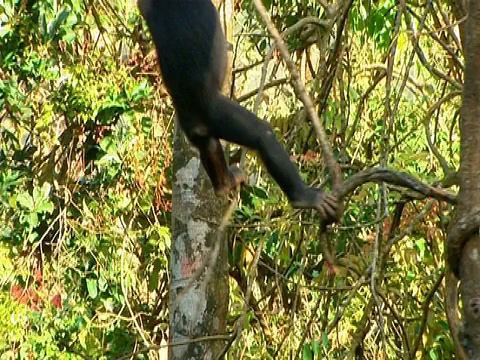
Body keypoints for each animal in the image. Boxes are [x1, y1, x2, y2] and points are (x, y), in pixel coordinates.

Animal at [137, 0, 340, 222]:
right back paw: (303, 197)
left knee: (208, 144)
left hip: (193, 123)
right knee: (262, 134)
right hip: (218, 113)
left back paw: (224, 185)